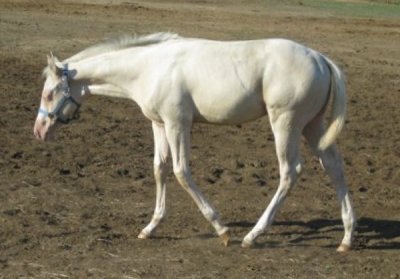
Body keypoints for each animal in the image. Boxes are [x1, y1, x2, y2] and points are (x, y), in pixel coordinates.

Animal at [33, 32, 356, 252]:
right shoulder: (159, 124)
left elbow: (180, 172)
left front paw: (222, 230)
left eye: (49, 93)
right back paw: (346, 237)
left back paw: (253, 235)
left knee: (290, 172)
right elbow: (159, 169)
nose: (39, 131)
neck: (149, 67)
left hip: (286, 124)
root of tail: (320, 58)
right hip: (312, 125)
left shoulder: (178, 123)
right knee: (334, 166)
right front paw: (150, 227)